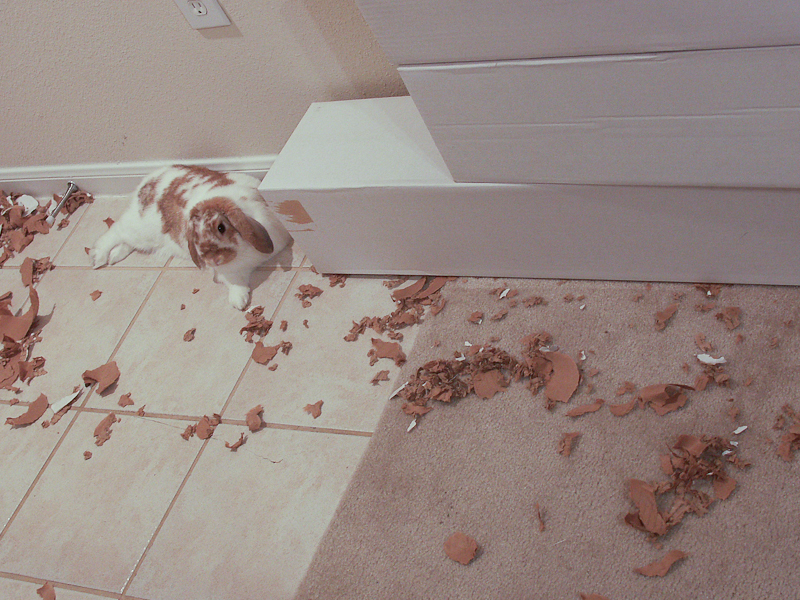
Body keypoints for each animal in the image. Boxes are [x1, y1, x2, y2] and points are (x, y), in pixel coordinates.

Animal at [91, 164, 290, 310]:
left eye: (221, 227)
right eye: (195, 236)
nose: (214, 260)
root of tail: (146, 183)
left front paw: (239, 302)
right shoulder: (229, 273)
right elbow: (235, 283)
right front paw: (239, 302)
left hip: (144, 239)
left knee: (123, 239)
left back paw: (114, 256)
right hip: (138, 230)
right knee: (114, 231)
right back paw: (98, 258)